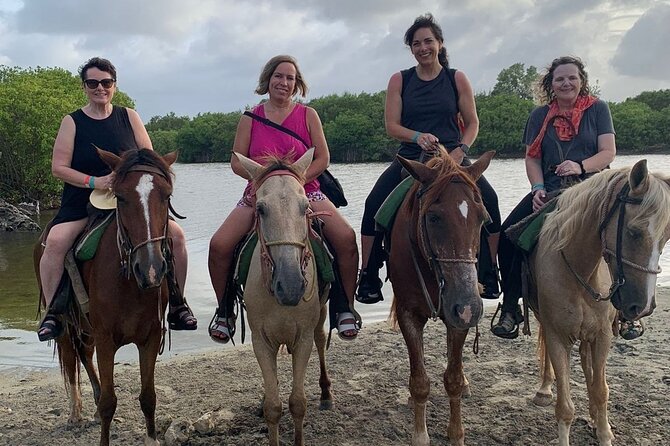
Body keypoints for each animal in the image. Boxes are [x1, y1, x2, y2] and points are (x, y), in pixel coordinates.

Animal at [35, 148, 178, 444]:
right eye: (120, 197)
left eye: (167, 195)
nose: (151, 269)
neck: (131, 284)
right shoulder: (106, 339)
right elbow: (109, 404)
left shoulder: (151, 337)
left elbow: (148, 397)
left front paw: (152, 438)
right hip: (67, 324)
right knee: (71, 359)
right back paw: (75, 412)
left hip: (86, 328)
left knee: (83, 354)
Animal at [235, 149, 334, 446]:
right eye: (260, 208)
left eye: (305, 206)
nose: (290, 286)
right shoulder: (261, 340)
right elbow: (273, 407)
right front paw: (266, 403)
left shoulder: (302, 340)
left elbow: (297, 403)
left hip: (321, 314)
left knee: (321, 338)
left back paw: (326, 394)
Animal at [388, 151, 498, 446]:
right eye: (434, 217)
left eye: (483, 218)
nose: (468, 307)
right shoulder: (408, 315)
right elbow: (419, 382)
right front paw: (420, 435)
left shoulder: (458, 320)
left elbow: (453, 379)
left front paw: (456, 434)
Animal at [532, 160, 670, 446]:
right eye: (633, 232)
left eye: (666, 238)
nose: (642, 307)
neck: (582, 271)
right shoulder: (557, 337)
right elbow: (565, 407)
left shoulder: (602, 335)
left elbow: (600, 390)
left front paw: (604, 431)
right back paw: (544, 389)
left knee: (588, 368)